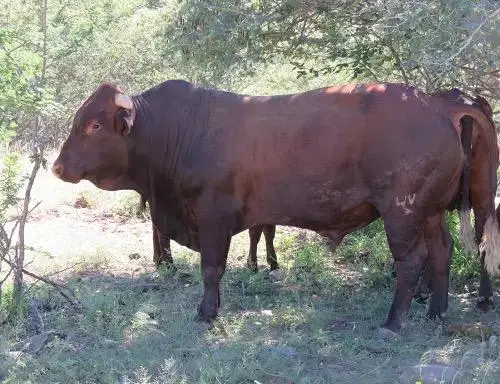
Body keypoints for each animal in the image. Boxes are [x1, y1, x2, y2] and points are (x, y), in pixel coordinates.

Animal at [51, 81, 500, 332]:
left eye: (94, 125)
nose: (57, 166)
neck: (178, 131)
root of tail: (435, 104)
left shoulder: (214, 217)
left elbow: (211, 268)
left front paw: (206, 312)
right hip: (429, 212)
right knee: (441, 253)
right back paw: (437, 313)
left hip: (402, 212)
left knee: (412, 262)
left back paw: (393, 323)